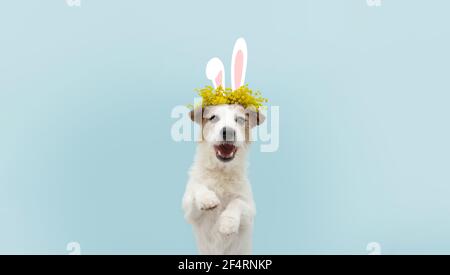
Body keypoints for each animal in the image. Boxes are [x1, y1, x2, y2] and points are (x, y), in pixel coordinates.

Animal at [180, 37, 264, 256]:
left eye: (240, 120)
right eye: (213, 118)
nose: (228, 131)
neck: (221, 172)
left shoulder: (250, 210)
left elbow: (237, 203)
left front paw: (227, 223)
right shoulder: (189, 210)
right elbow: (197, 188)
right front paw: (208, 199)